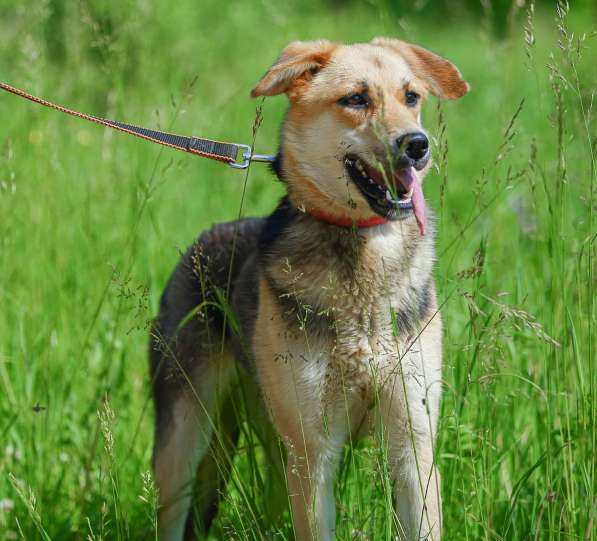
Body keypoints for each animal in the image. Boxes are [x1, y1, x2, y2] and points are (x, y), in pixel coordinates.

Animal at [148, 38, 466, 540]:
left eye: (411, 97)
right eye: (356, 99)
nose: (418, 144)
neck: (362, 251)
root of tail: (203, 241)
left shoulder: (413, 444)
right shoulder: (315, 454)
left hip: (275, 456)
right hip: (185, 439)